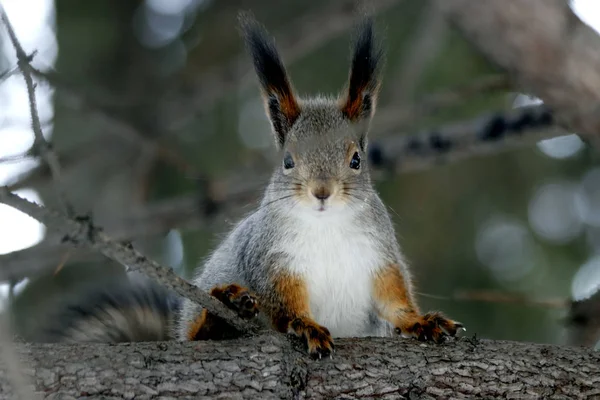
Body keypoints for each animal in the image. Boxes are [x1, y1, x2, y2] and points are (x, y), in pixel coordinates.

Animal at [31, 13, 464, 360]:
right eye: (287, 160)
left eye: (357, 159)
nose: (322, 191)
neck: (327, 226)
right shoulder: (272, 259)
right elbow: (283, 302)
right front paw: (305, 325)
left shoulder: (379, 256)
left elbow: (394, 300)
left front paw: (422, 322)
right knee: (199, 331)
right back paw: (223, 314)